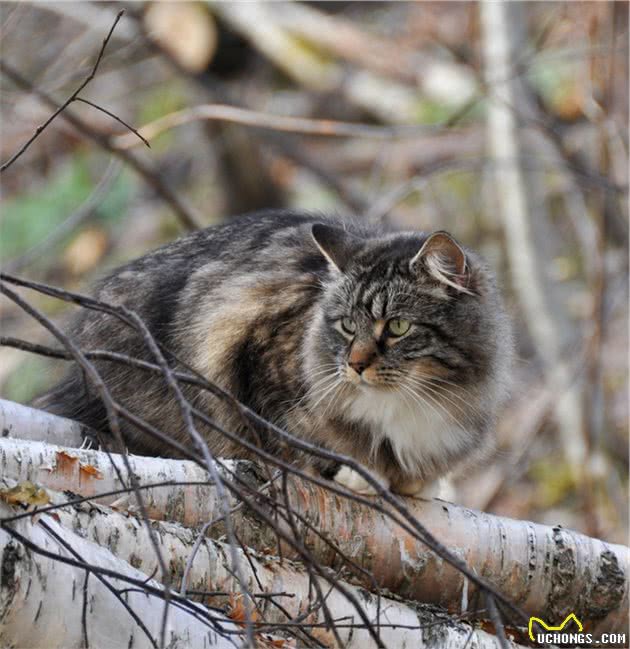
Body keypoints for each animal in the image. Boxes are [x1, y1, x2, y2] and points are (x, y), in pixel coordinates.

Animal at [45, 211, 520, 496]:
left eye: (397, 327)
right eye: (347, 326)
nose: (355, 366)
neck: (408, 405)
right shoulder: (253, 361)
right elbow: (299, 445)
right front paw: (358, 475)